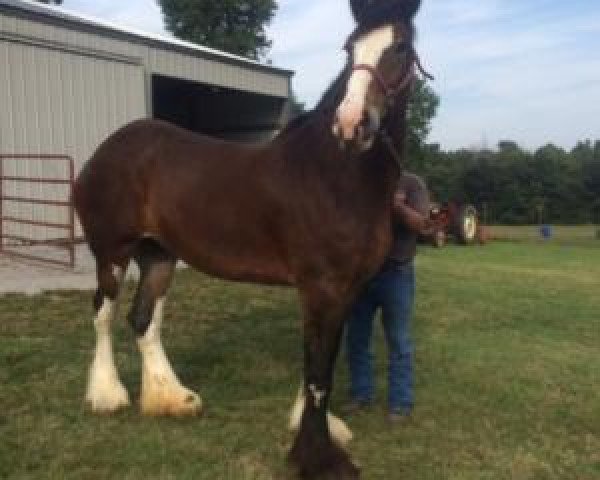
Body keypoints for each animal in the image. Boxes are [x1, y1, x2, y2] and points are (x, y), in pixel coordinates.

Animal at [74, 0, 426, 476]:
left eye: (401, 47)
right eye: (350, 48)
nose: (352, 123)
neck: (337, 174)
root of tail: (104, 151)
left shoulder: (346, 288)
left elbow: (321, 361)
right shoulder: (323, 285)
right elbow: (319, 372)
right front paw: (317, 457)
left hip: (158, 255)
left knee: (144, 320)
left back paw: (172, 398)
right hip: (111, 252)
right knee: (104, 315)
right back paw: (108, 396)